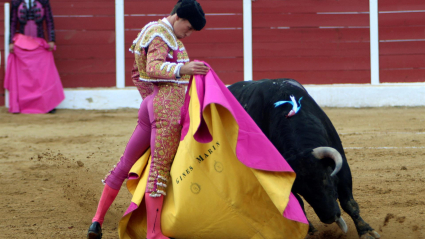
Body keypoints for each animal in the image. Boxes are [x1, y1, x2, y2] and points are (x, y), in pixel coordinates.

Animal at [229, 79, 380, 238]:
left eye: (324, 177)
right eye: (301, 188)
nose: (329, 217)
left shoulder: (342, 163)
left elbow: (348, 202)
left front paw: (366, 231)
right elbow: (299, 203)